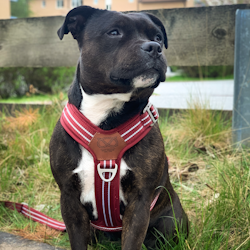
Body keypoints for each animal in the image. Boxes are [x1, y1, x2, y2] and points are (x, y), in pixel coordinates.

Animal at [49, 5, 188, 250]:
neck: (105, 119)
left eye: (158, 37)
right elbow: (78, 240)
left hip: (171, 220)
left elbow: (132, 242)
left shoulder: (139, 203)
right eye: (114, 32)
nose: (154, 47)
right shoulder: (69, 200)